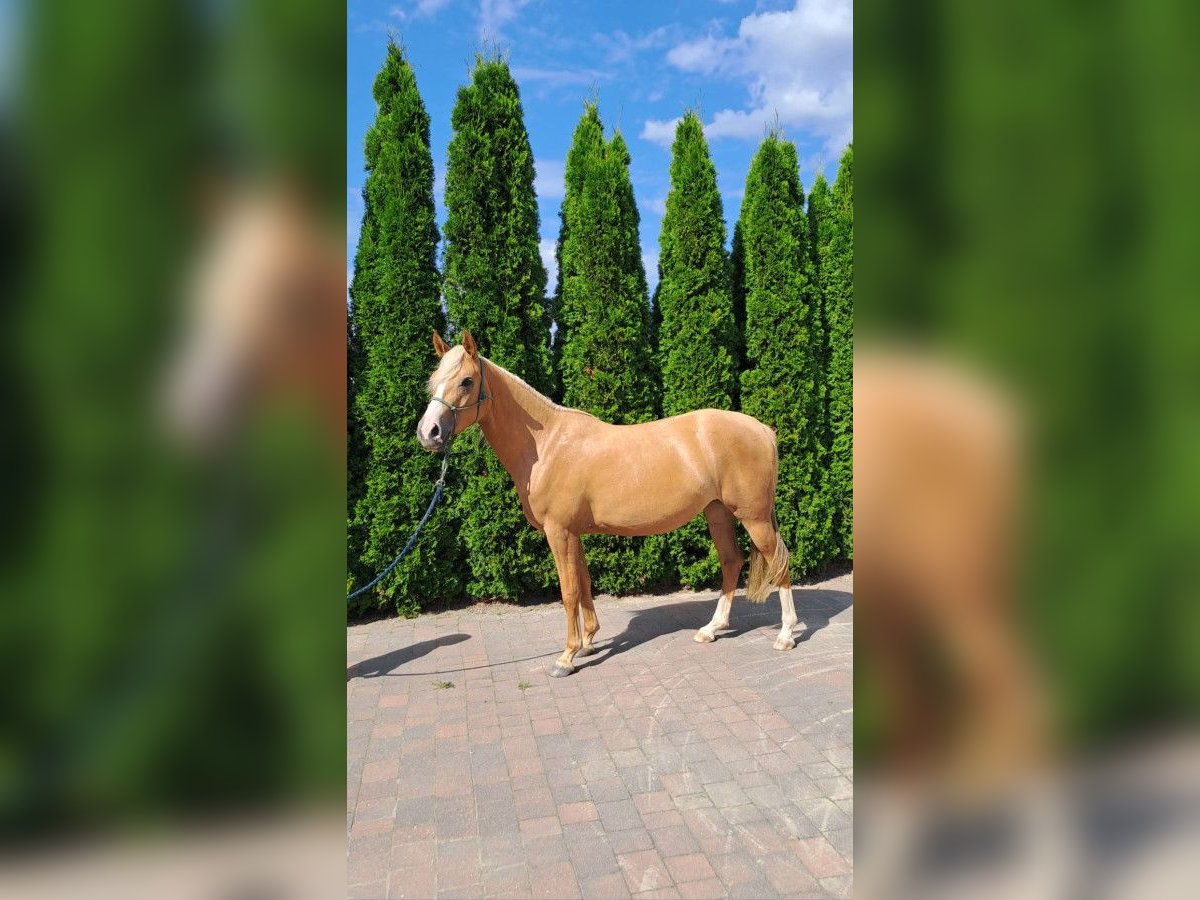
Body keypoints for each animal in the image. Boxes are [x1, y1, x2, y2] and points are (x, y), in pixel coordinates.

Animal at [418, 330, 798, 677]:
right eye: (433, 381)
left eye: (466, 381)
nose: (429, 432)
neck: (547, 443)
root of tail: (764, 430)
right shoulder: (573, 534)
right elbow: (585, 584)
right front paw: (588, 643)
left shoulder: (559, 532)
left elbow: (569, 590)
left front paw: (566, 657)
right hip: (717, 512)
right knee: (731, 562)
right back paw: (711, 630)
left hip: (754, 517)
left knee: (779, 562)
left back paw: (785, 636)